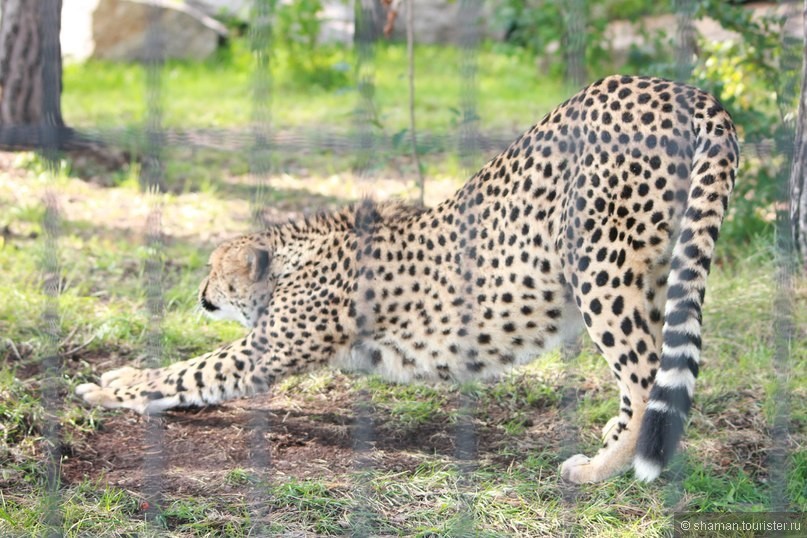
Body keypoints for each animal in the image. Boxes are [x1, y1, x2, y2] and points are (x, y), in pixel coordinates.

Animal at [77, 75, 740, 482]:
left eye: (217, 270)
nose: (201, 294)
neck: (296, 254)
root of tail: (681, 89)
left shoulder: (262, 350)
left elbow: (187, 372)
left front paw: (110, 387)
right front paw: (117, 379)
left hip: (602, 269)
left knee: (646, 371)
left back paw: (600, 469)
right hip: (652, 270)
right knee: (651, 369)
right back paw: (619, 434)